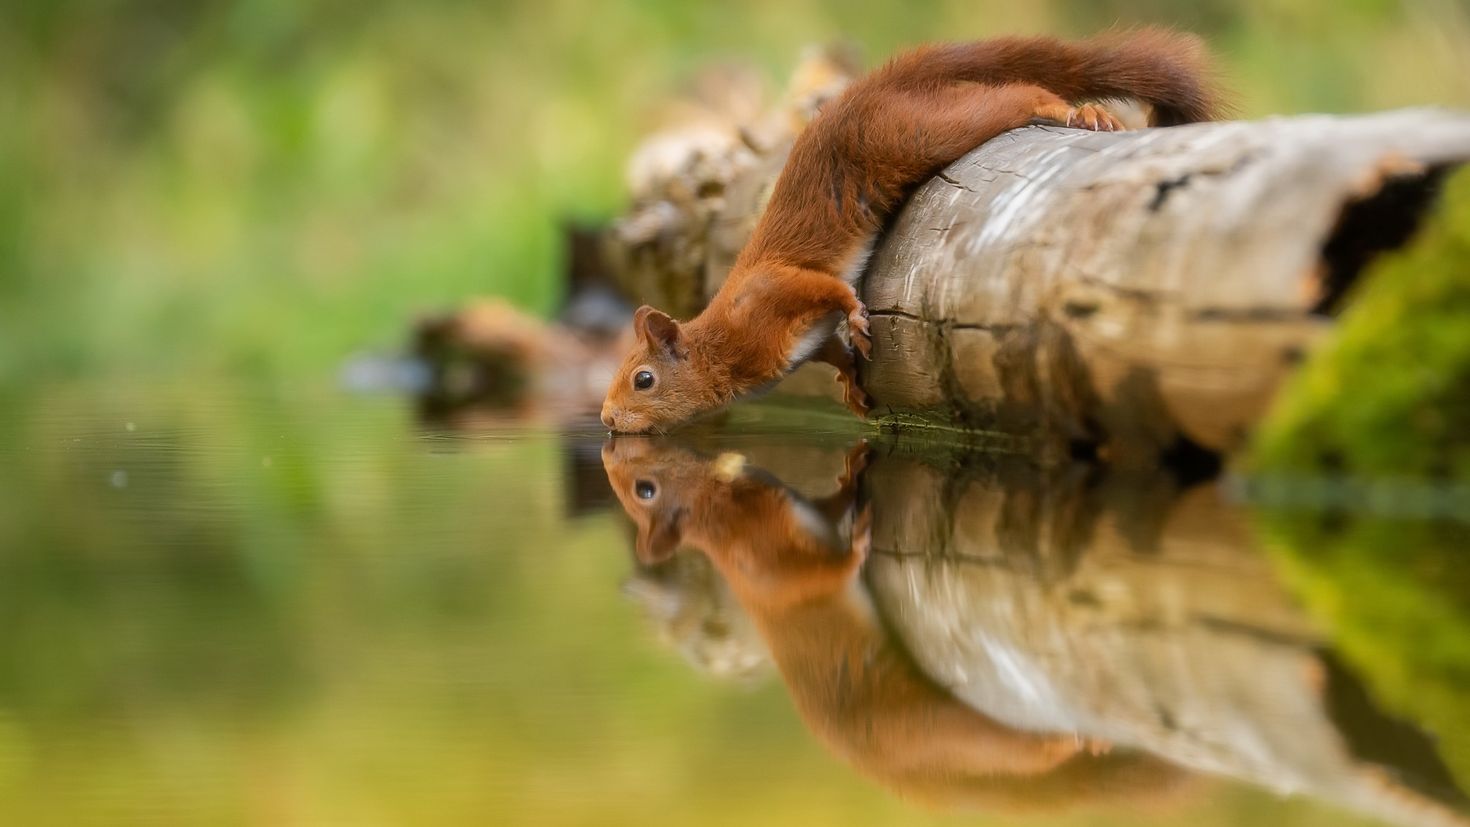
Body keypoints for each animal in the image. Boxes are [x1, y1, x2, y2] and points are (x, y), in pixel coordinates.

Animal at [602, 29, 1223, 434]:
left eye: (643, 380)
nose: (606, 419)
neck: (724, 343)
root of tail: (872, 88)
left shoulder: (772, 293)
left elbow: (824, 287)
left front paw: (856, 313)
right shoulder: (801, 338)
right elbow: (832, 348)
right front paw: (851, 384)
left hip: (916, 131)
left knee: (1012, 96)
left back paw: (1074, 111)